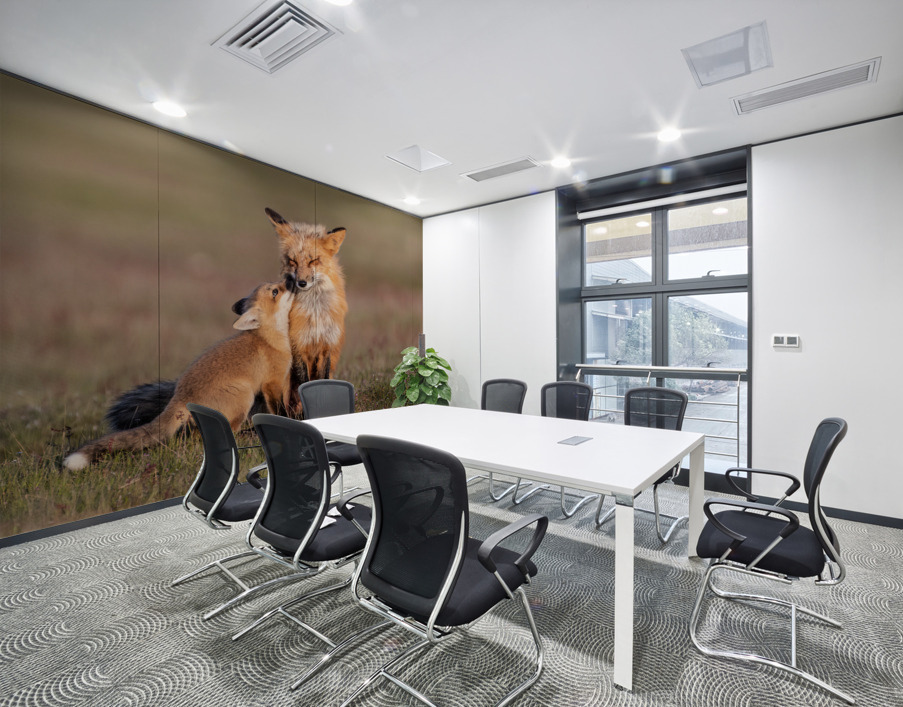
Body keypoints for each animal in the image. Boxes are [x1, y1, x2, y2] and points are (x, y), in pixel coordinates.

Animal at [64, 280, 294, 470]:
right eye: (275, 291)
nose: (293, 279)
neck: (269, 340)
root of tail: (180, 396)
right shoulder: (272, 384)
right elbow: (279, 410)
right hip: (243, 396)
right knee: (220, 433)